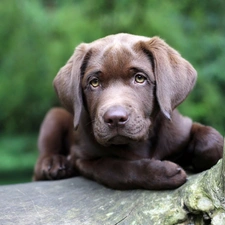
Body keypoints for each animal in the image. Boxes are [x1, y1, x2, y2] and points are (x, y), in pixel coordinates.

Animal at [33, 33, 223, 190]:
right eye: (94, 82)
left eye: (139, 78)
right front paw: (163, 173)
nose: (115, 118)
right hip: (54, 116)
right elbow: (117, 168)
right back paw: (53, 163)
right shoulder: (83, 158)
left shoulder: (182, 128)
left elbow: (212, 141)